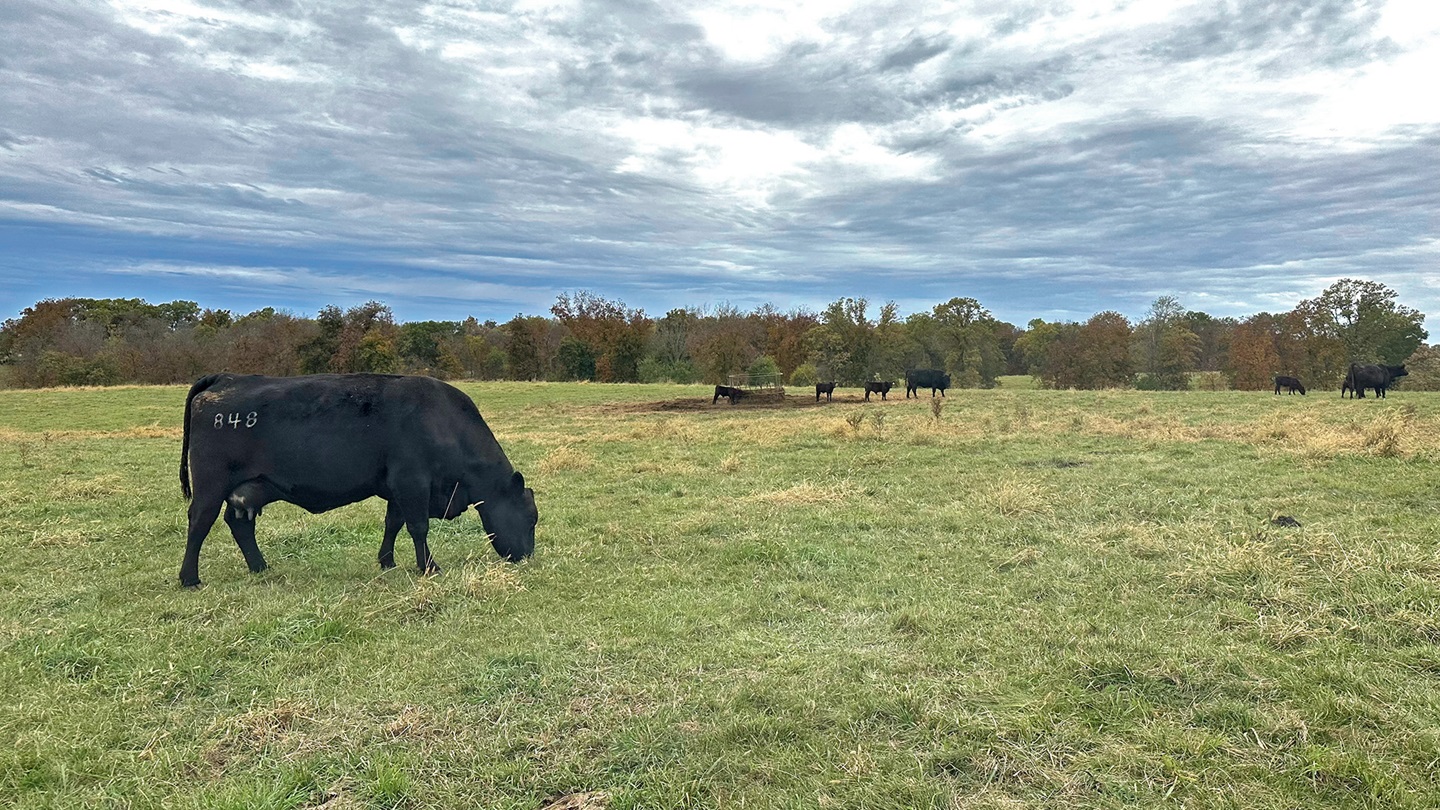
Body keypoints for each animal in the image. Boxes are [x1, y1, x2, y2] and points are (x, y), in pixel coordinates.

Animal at [178, 373, 537, 588]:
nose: (527, 557)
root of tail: (226, 378)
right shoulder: (412, 482)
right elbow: (418, 527)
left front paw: (387, 561)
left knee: (239, 523)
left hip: (249, 489)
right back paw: (189, 578)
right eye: (532, 518)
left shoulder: (397, 487)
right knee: (199, 523)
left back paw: (259, 566)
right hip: (210, 486)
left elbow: (393, 523)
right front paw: (429, 567)